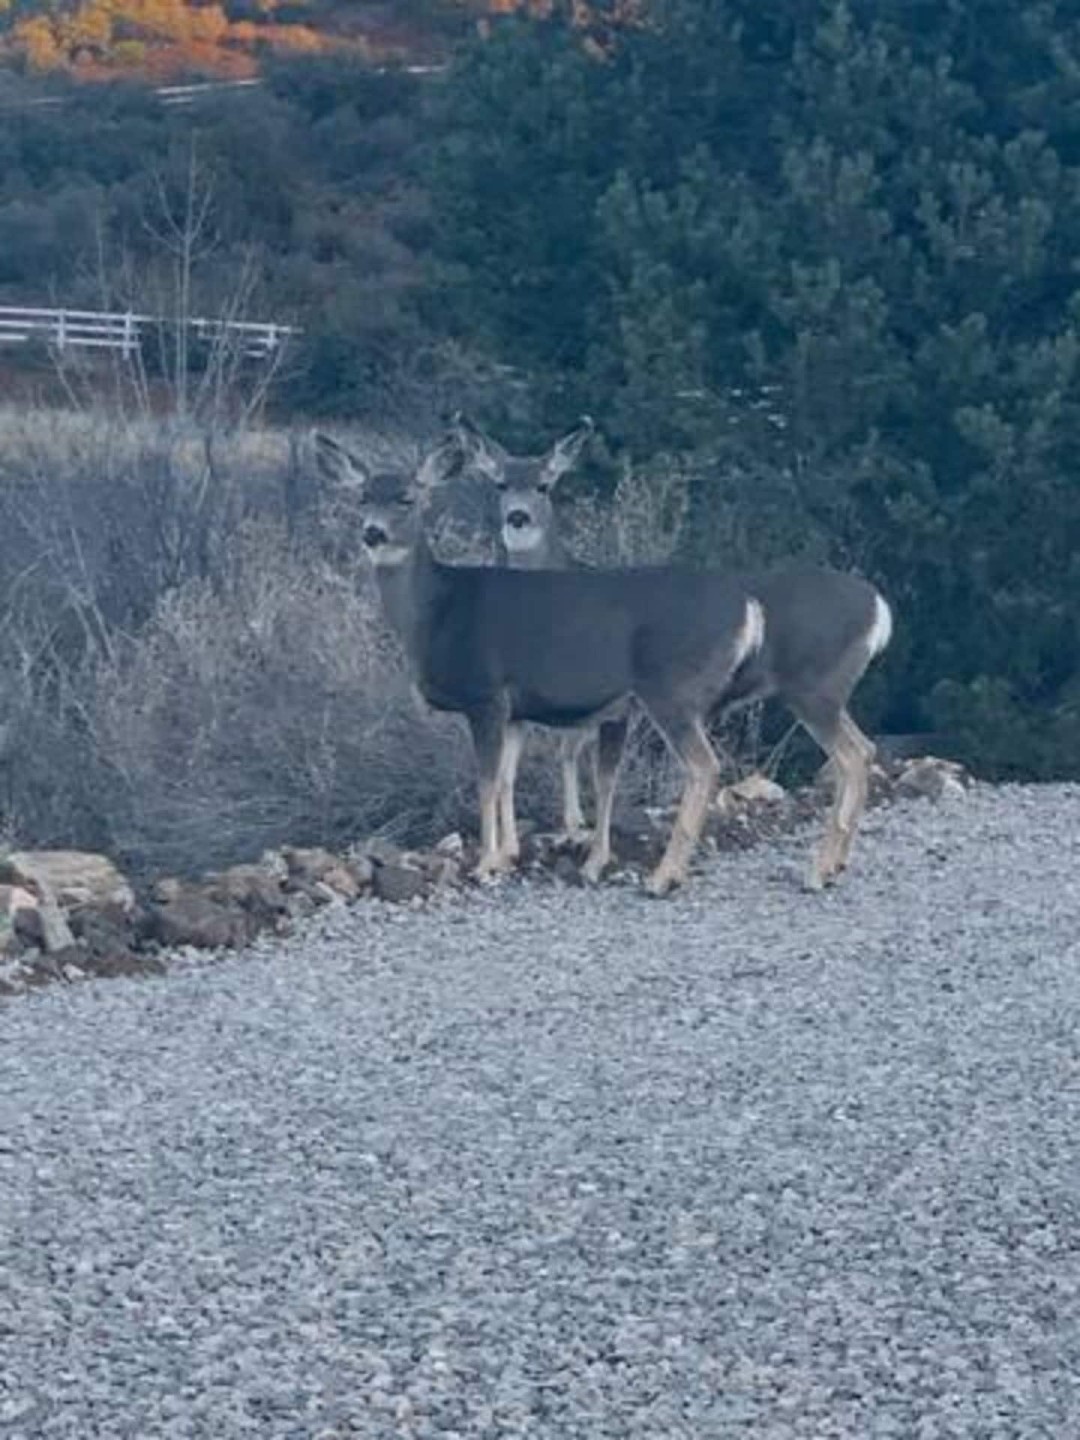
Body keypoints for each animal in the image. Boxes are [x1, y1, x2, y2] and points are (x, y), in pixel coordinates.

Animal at [314, 428, 765, 896]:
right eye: (363, 497)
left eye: (406, 498)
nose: (372, 533)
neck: (438, 610)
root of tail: (749, 607)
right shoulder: (515, 708)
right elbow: (507, 777)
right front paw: (507, 855)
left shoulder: (486, 693)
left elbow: (485, 780)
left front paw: (484, 864)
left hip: (670, 688)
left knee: (703, 765)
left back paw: (661, 876)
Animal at [456, 417, 895, 893]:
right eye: (500, 484)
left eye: (544, 485)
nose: (517, 519)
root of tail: (879, 609)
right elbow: (520, 769)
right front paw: (513, 853)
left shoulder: (609, 703)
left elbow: (596, 771)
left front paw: (585, 850)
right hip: (829, 691)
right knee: (864, 748)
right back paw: (833, 864)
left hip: (798, 689)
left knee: (835, 757)